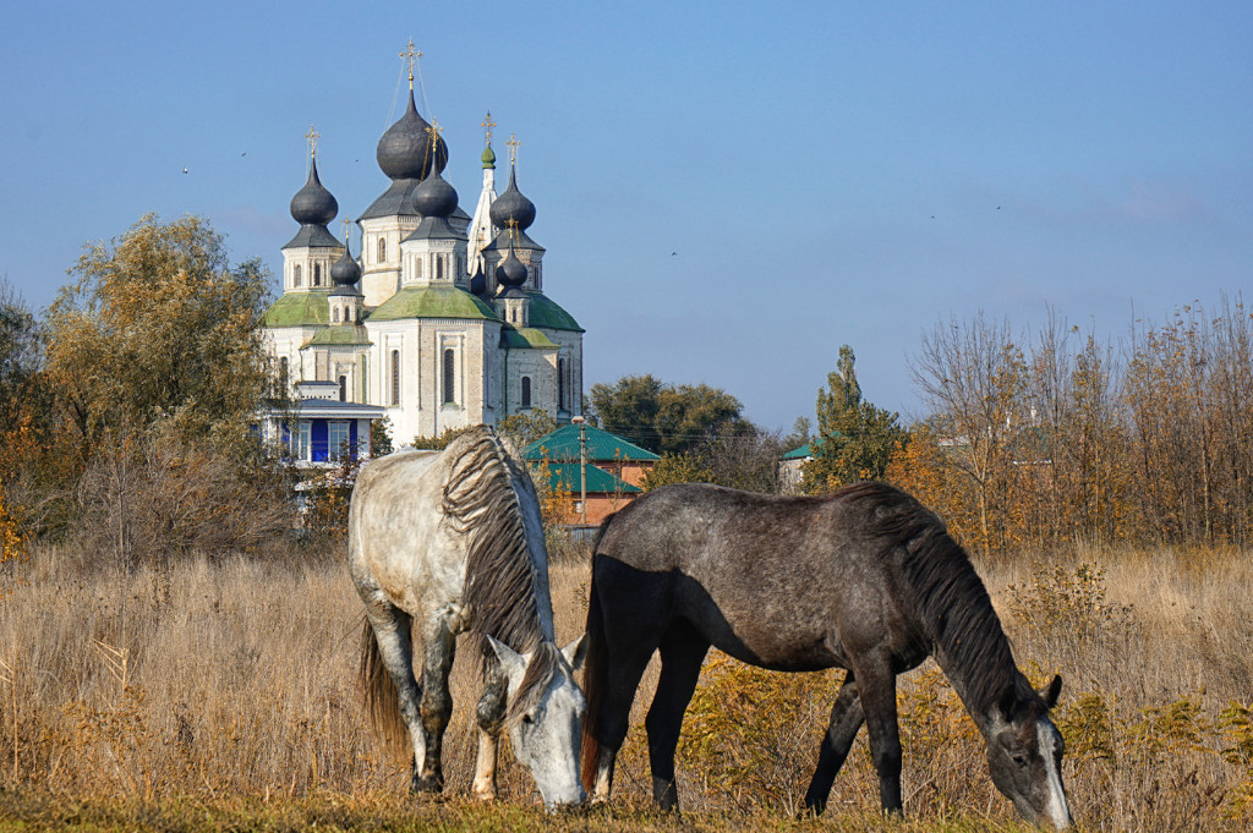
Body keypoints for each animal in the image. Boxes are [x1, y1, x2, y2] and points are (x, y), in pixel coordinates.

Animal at [350, 423, 588, 806]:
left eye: (580, 711)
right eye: (527, 718)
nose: (572, 801)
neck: (477, 534)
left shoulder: (496, 630)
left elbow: (489, 709)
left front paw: (485, 788)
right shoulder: (437, 622)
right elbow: (435, 706)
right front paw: (430, 781)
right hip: (383, 612)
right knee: (410, 698)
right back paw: (419, 776)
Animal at [581, 478, 1072, 826]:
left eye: (1059, 752)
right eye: (1020, 756)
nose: (1061, 823)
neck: (896, 566)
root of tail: (619, 520)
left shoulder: (859, 673)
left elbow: (834, 746)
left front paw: (810, 809)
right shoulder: (873, 666)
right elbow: (886, 748)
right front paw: (894, 816)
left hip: (685, 645)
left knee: (662, 722)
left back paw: (670, 811)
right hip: (632, 642)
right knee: (615, 716)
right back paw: (602, 799)